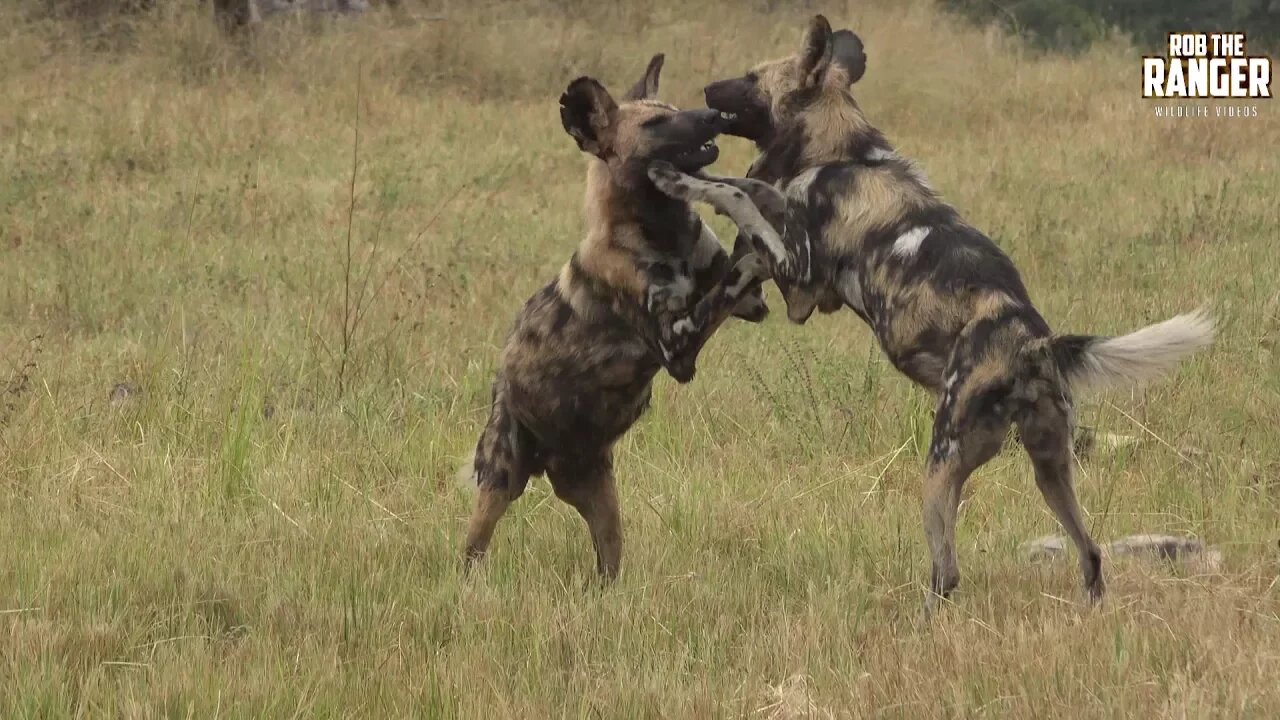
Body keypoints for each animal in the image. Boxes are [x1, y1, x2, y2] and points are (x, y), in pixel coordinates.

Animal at [463, 54, 768, 576]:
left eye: (674, 110)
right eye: (656, 124)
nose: (713, 115)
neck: (663, 230)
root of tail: (552, 463)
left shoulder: (750, 305)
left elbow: (740, 263)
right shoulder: (678, 348)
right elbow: (738, 272)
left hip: (602, 500)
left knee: (606, 565)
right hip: (500, 479)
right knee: (474, 546)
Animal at [675, 15, 1213, 604]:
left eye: (751, 78)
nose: (707, 90)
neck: (838, 153)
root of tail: (1032, 343)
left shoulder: (801, 285)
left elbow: (744, 200)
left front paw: (694, 184)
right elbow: (753, 200)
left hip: (942, 460)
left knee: (947, 572)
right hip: (1051, 467)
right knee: (1090, 551)